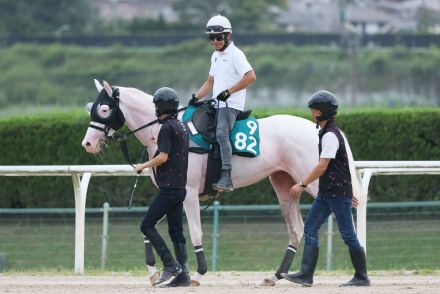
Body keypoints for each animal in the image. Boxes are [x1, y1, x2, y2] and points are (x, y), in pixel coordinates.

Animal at [82, 79, 364, 286]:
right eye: (91, 108)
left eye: (104, 109)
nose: (87, 143)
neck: (164, 129)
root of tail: (318, 129)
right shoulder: (172, 194)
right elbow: (150, 228)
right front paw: (157, 272)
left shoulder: (188, 193)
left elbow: (193, 231)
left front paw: (197, 273)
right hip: (285, 186)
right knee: (296, 228)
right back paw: (276, 276)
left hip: (317, 183)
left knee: (345, 215)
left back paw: (356, 274)